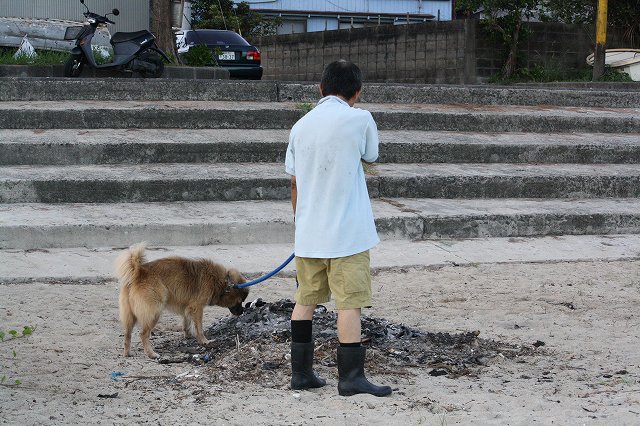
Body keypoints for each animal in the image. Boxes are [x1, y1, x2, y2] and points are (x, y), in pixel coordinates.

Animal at [114, 243, 249, 360]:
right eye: (239, 301)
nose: (243, 311)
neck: (222, 281)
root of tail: (139, 272)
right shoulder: (197, 307)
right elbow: (199, 328)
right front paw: (204, 341)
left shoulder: (187, 307)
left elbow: (186, 322)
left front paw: (188, 335)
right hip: (154, 313)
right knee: (143, 334)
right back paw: (151, 354)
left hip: (130, 316)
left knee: (127, 335)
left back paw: (127, 353)